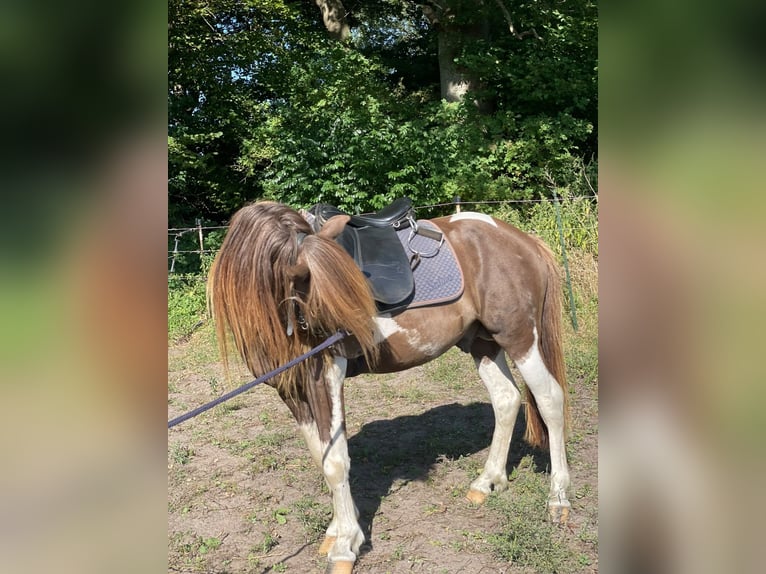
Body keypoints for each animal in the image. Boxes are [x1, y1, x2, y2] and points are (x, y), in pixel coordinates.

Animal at [208, 200, 571, 574]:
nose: (356, 336)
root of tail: (523, 241)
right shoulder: (291, 389)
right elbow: (321, 455)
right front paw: (340, 528)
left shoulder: (326, 374)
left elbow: (335, 461)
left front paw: (345, 544)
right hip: (483, 343)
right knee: (507, 399)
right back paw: (488, 482)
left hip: (520, 338)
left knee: (549, 400)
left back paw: (558, 499)